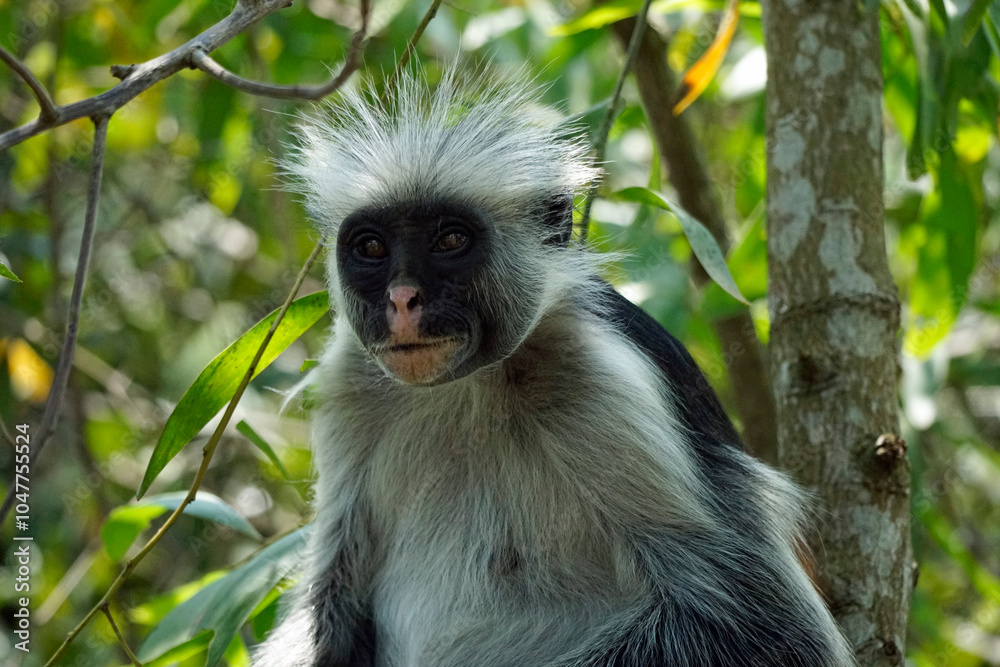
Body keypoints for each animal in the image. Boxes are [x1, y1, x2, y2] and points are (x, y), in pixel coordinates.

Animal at [252, 68, 856, 667]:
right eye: (372, 247)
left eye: (451, 239)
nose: (402, 299)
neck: (469, 385)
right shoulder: (351, 378)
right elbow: (331, 597)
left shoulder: (606, 380)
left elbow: (767, 627)